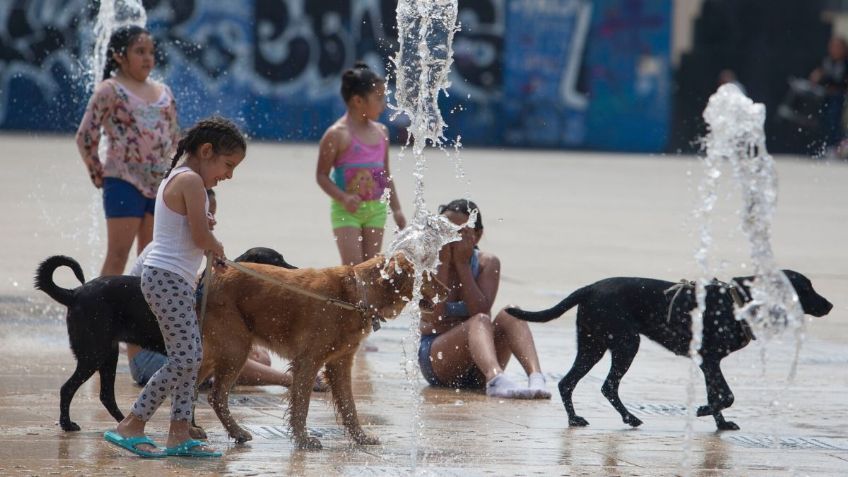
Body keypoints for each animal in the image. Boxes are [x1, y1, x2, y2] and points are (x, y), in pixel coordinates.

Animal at [34, 245, 294, 432]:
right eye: (277, 261)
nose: (297, 270)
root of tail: (75, 293)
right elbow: (190, 397)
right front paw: (191, 428)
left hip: (109, 354)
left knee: (106, 395)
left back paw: (124, 422)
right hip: (93, 354)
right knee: (67, 388)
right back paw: (68, 425)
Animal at [197, 255, 438, 448]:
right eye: (427, 275)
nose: (445, 291)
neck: (356, 296)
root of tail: (205, 278)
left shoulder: (339, 362)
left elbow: (349, 406)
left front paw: (361, 438)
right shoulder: (308, 360)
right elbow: (302, 404)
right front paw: (303, 440)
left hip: (214, 353)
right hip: (236, 348)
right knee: (216, 396)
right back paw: (234, 432)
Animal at [506, 270, 832, 430]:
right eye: (806, 288)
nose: (830, 305)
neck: (738, 303)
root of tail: (589, 288)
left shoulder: (707, 363)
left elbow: (717, 395)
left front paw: (720, 424)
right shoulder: (710, 360)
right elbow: (726, 395)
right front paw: (703, 411)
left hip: (593, 344)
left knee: (569, 382)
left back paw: (577, 419)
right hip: (624, 343)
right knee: (606, 385)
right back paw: (625, 418)